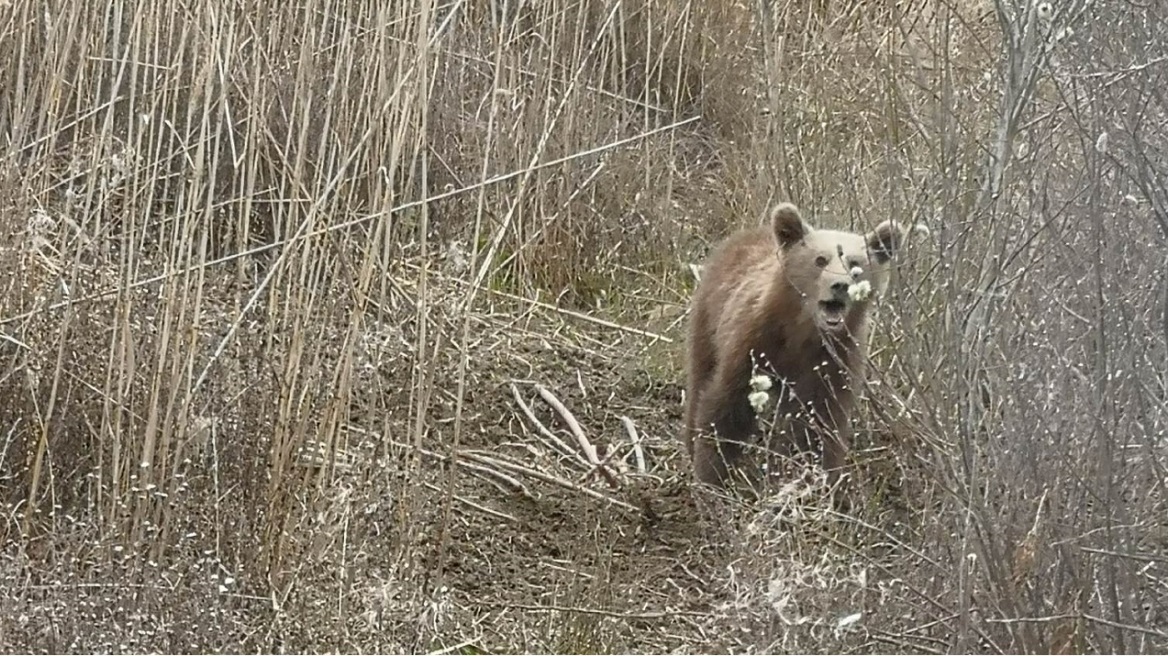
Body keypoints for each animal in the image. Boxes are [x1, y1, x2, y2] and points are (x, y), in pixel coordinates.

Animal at [682, 201, 906, 487]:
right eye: (820, 259)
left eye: (855, 263)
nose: (840, 285)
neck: (802, 332)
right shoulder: (753, 345)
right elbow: (725, 406)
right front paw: (711, 473)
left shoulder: (834, 362)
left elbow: (818, 424)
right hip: (709, 317)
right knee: (700, 376)